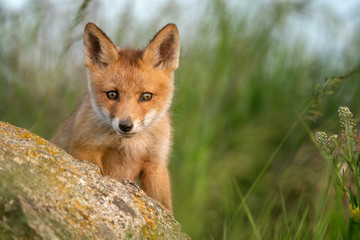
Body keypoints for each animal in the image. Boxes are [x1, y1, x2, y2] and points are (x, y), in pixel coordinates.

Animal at [50, 21, 180, 211]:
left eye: (146, 96)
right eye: (112, 94)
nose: (125, 126)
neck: (131, 146)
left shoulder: (156, 163)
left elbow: (163, 204)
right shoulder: (85, 148)